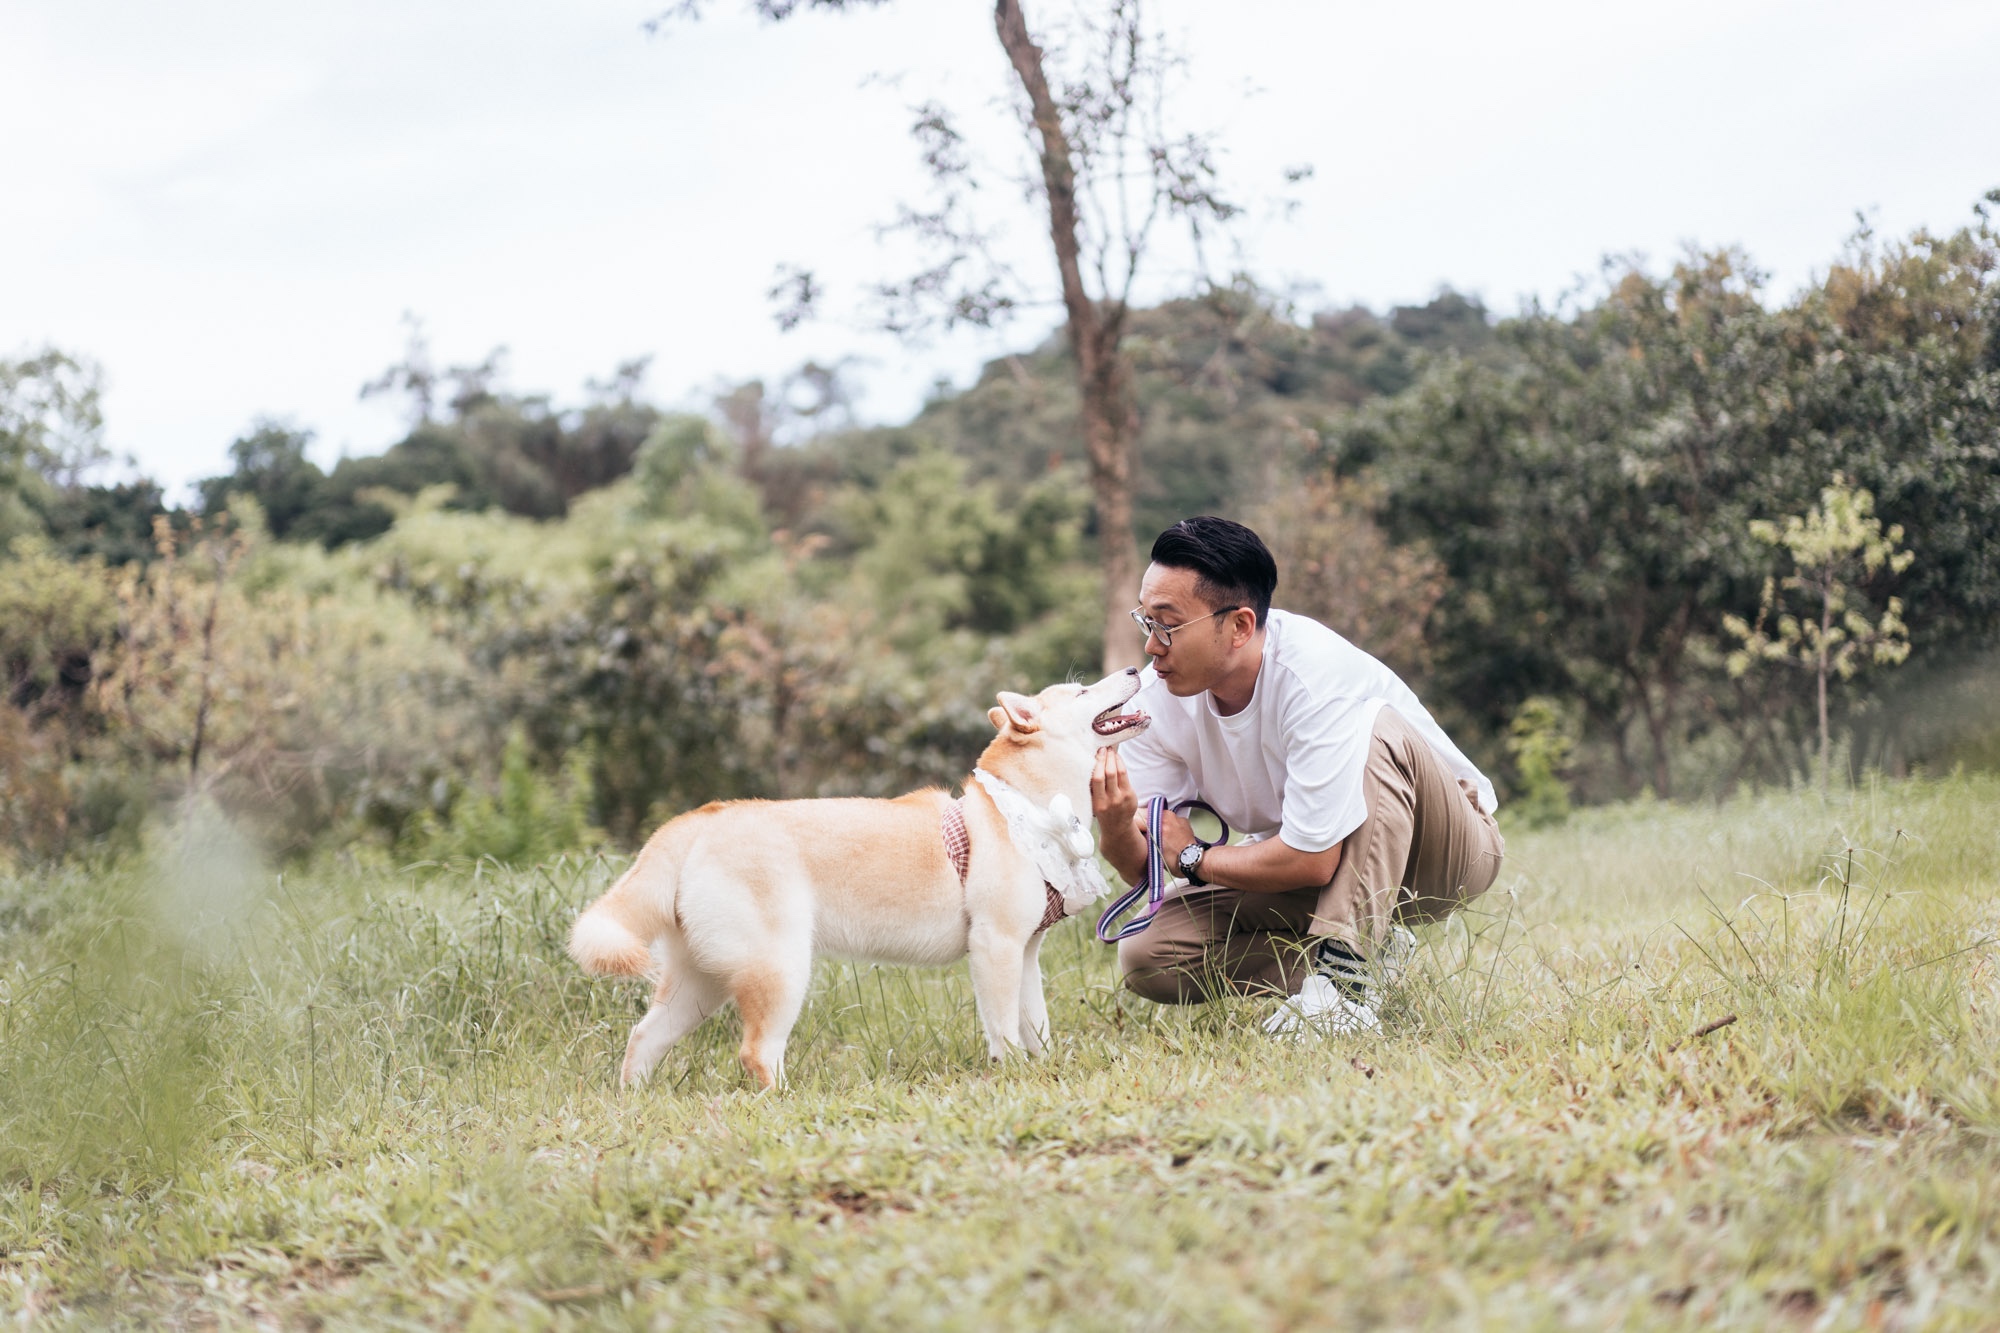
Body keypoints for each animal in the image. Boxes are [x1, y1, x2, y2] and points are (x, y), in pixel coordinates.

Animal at [572, 668, 1152, 1088]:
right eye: (1083, 690)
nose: (1131, 667)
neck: (1028, 809)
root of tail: (701, 818)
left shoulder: (1026, 953)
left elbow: (1038, 1028)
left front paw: (1047, 1072)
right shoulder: (996, 948)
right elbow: (1004, 1032)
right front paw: (1010, 1077)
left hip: (702, 981)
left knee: (643, 1038)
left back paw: (635, 1102)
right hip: (780, 971)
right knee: (756, 1053)